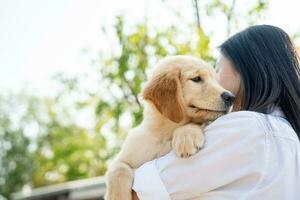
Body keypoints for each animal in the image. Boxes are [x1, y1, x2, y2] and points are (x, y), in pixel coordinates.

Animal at [105, 55, 234, 200]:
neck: (166, 134)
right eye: (196, 79)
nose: (230, 97)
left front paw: (186, 137)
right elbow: (118, 168)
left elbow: (195, 123)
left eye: (216, 81)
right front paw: (117, 196)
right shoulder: (126, 155)